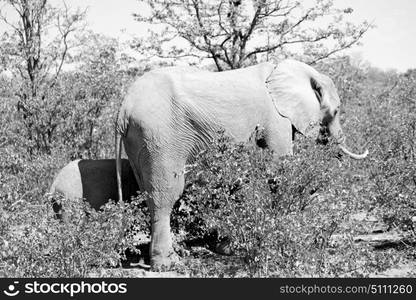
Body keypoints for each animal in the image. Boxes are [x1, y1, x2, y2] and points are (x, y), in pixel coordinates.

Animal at [114, 58, 368, 270]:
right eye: (336, 111)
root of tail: (124, 110)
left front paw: (229, 248)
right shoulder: (275, 117)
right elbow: (279, 169)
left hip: (141, 141)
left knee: (147, 192)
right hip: (160, 137)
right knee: (165, 195)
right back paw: (168, 264)